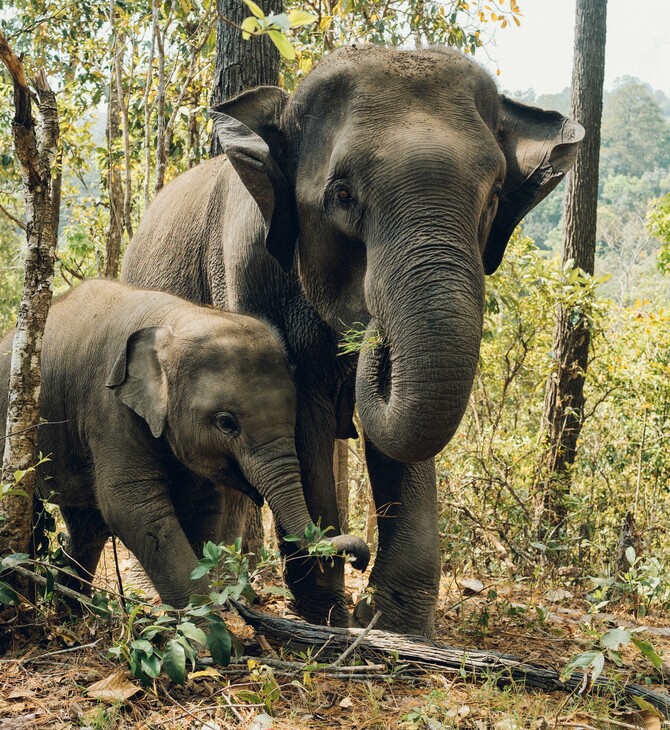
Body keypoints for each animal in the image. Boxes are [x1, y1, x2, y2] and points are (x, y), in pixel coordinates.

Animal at [0, 282, 372, 604]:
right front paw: (210, 634)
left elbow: (203, 505)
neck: (176, 320)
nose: (360, 560)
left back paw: (71, 609)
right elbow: (131, 507)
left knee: (86, 526)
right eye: (226, 423)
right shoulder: (109, 408)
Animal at [123, 44, 584, 632]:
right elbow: (302, 415)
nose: (373, 333)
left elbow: (403, 434)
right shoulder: (248, 272)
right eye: (342, 195)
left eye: (494, 197)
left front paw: (394, 626)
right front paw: (328, 617)